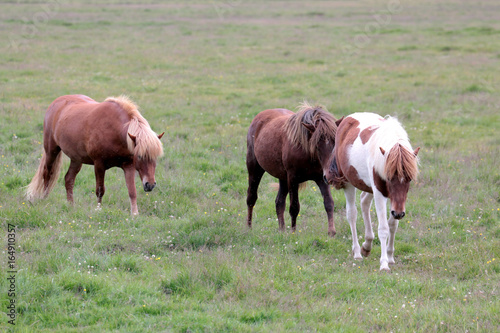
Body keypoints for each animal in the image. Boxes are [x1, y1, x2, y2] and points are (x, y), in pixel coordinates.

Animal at [26, 94, 163, 214]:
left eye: (156, 158)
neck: (114, 130)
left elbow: (132, 191)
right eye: (140, 156)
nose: (150, 185)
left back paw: (71, 205)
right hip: (51, 151)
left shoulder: (128, 165)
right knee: (47, 174)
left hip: (76, 159)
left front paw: (134, 214)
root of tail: (56, 103)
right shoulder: (99, 165)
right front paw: (98, 209)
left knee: (69, 179)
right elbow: (100, 190)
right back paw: (44, 199)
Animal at [245, 102, 342, 235]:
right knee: (251, 198)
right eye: (317, 145)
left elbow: (329, 203)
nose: (332, 176)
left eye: (335, 143)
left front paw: (331, 232)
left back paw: (281, 230)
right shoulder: (293, 179)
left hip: (282, 178)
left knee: (279, 202)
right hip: (255, 169)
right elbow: (294, 207)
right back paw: (249, 227)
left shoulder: (321, 178)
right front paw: (294, 232)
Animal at [326, 112, 420, 270]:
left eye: (409, 179)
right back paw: (358, 252)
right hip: (348, 183)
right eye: (389, 178)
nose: (399, 213)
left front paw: (390, 257)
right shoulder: (380, 194)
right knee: (352, 214)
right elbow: (383, 228)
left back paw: (367, 245)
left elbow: (393, 225)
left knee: (364, 203)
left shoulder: (396, 202)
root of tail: (346, 119)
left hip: (368, 187)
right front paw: (384, 264)